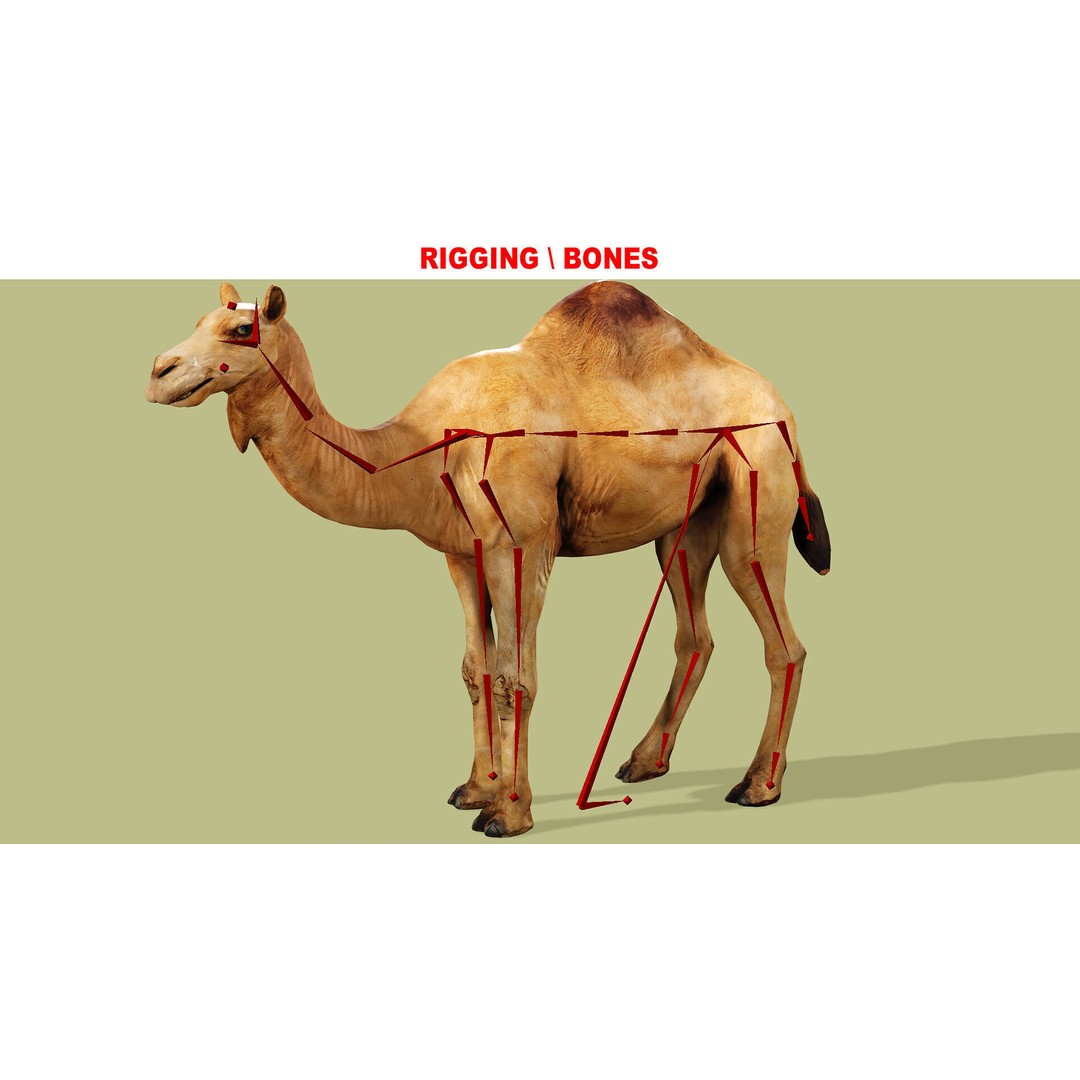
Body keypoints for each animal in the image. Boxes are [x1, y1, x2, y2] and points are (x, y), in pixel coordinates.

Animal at [145, 281, 831, 837]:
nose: (159, 369)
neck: (416, 451)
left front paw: (508, 812)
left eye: (242, 330)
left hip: (756, 493)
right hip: (684, 526)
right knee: (695, 635)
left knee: (783, 642)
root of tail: (786, 411)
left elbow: (515, 676)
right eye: (200, 318)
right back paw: (645, 761)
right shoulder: (459, 553)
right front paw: (475, 788)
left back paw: (758, 785)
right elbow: (475, 670)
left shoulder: (523, 543)